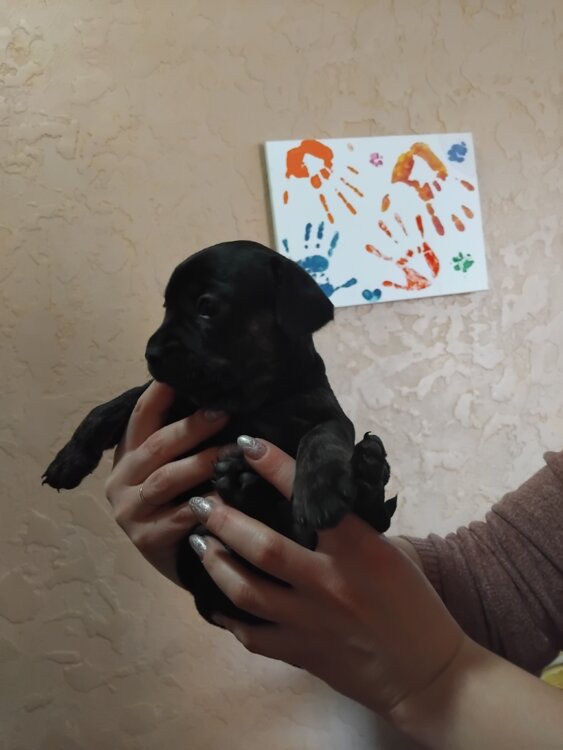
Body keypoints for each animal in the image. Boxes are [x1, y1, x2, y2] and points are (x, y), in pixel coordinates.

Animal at [43, 241, 396, 624]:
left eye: (206, 307)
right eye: (167, 308)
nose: (151, 353)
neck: (250, 400)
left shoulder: (324, 411)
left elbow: (322, 438)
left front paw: (320, 488)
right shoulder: (175, 397)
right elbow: (117, 402)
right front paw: (69, 459)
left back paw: (364, 468)